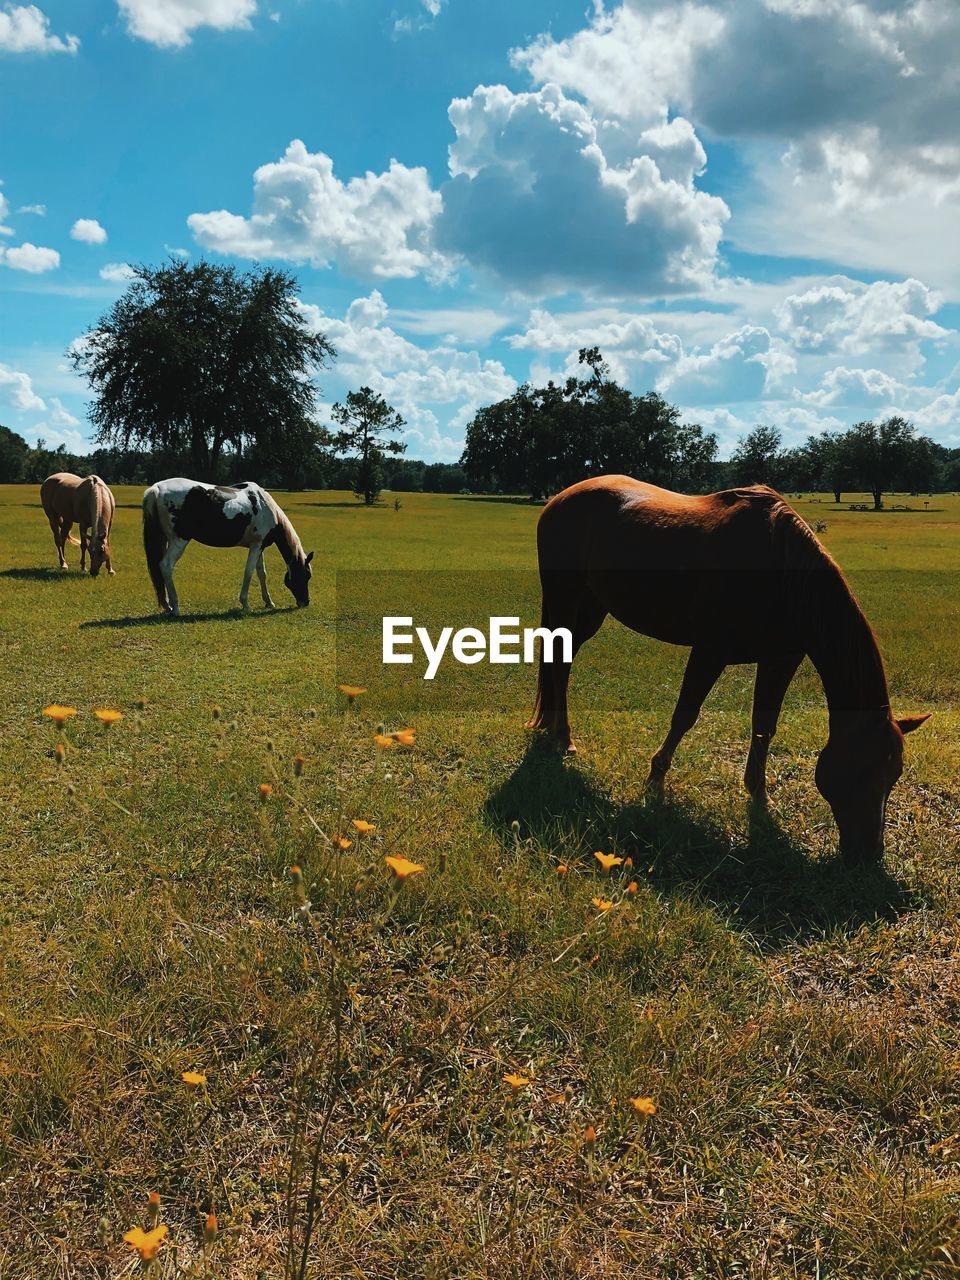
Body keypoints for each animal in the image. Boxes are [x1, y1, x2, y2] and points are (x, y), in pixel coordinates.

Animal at [140, 481, 313, 619]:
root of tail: (156, 489)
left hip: (167, 540)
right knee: (166, 566)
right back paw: (175, 608)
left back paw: (167, 606)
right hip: (179, 541)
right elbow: (249, 573)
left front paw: (269, 602)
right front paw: (246, 604)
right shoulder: (256, 547)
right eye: (306, 575)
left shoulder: (259, 547)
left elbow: (261, 574)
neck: (266, 506)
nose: (305, 602)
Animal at [529, 476, 926, 865]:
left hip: (593, 606)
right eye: (863, 768)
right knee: (560, 666)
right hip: (565, 598)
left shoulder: (781, 659)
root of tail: (559, 499)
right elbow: (684, 715)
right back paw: (564, 737)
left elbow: (764, 725)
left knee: (560, 663)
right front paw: (655, 779)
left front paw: (759, 794)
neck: (781, 575)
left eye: (895, 773)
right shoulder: (710, 651)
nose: (869, 854)